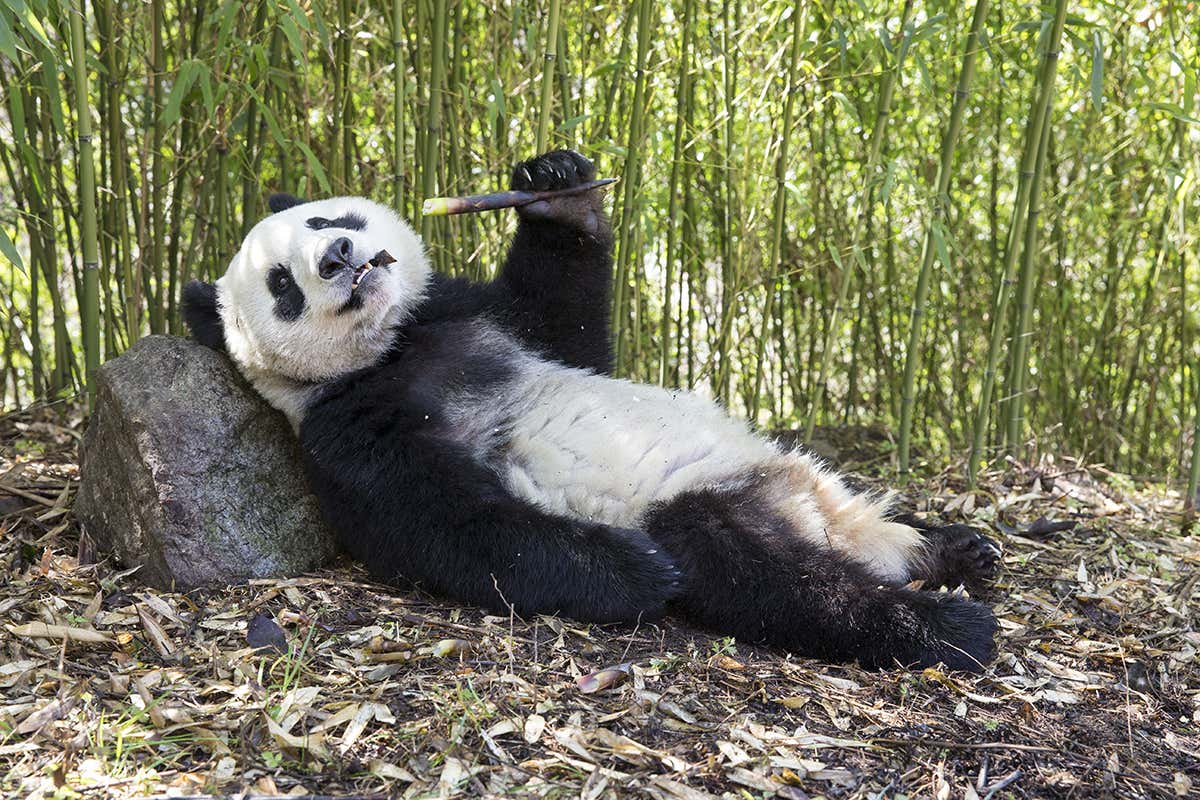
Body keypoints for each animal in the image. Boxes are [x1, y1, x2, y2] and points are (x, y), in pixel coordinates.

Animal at [183, 150, 1000, 671]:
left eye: (328, 222)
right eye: (281, 286)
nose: (339, 258)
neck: (391, 346)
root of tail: (821, 518)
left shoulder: (473, 312)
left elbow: (567, 324)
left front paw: (560, 191)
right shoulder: (349, 430)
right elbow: (445, 524)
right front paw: (636, 572)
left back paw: (956, 549)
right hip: (707, 509)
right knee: (773, 577)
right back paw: (943, 626)